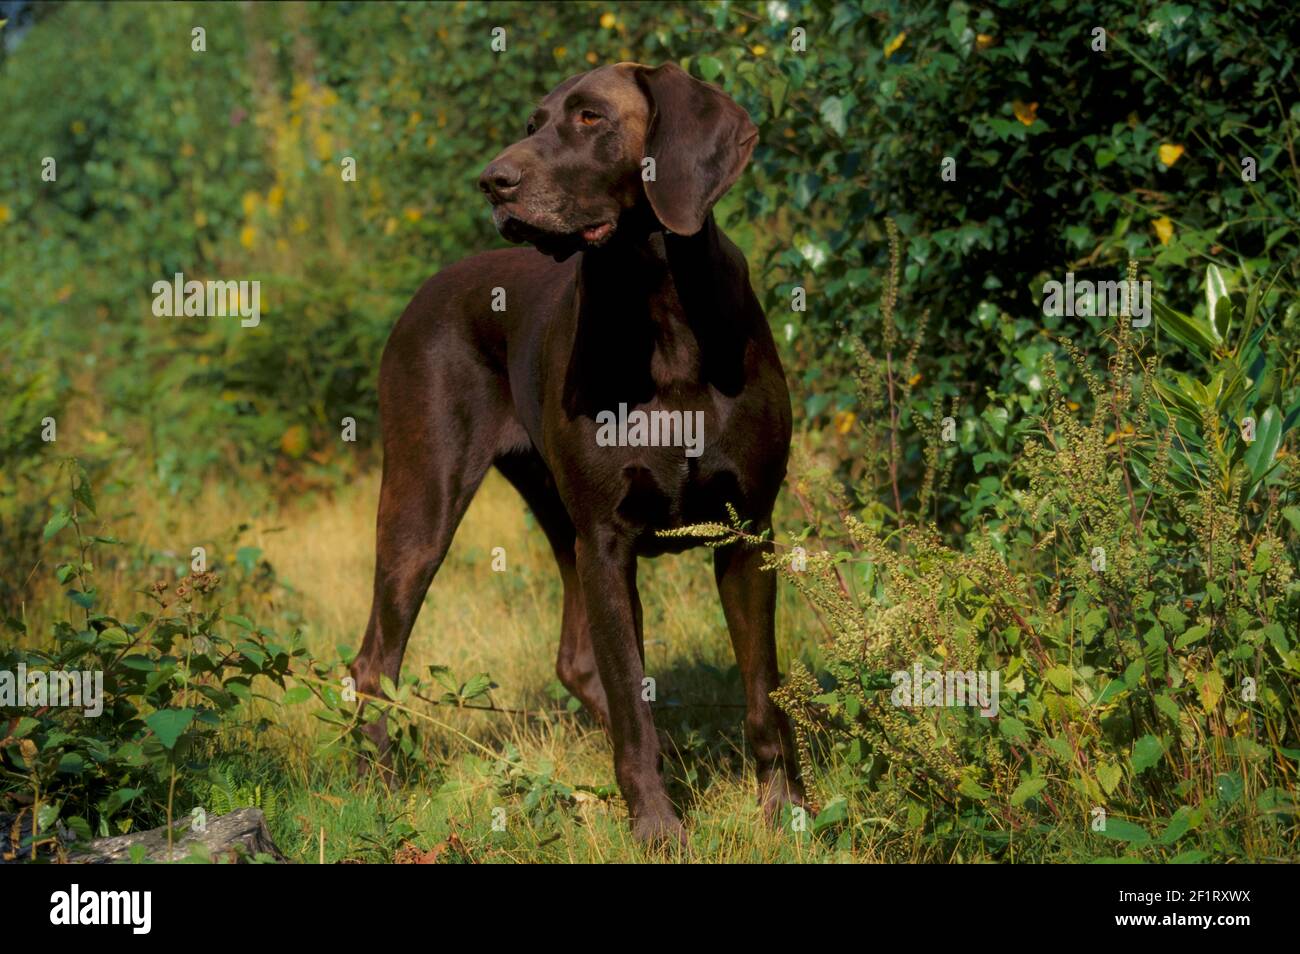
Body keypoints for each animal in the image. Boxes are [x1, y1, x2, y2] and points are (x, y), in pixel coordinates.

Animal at [353, 63, 800, 842]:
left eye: (591, 118)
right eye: (533, 123)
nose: (493, 181)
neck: (662, 309)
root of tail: (424, 293)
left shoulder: (748, 531)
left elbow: (762, 693)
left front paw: (787, 809)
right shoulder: (608, 541)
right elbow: (630, 700)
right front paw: (657, 829)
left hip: (557, 518)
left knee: (575, 660)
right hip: (424, 502)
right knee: (376, 658)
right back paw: (377, 785)